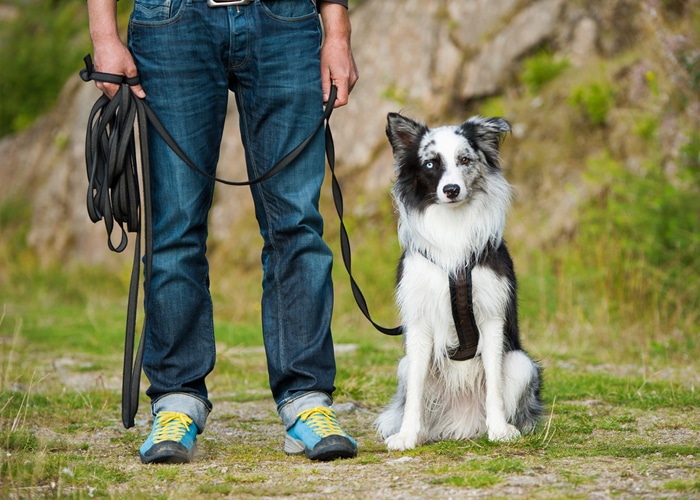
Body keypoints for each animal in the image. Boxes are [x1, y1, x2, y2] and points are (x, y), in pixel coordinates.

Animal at [374, 114, 544, 454]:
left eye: (465, 160)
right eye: (430, 164)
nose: (451, 190)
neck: (452, 227)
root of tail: (461, 422)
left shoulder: (492, 317)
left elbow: (494, 384)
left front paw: (499, 430)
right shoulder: (419, 321)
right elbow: (414, 394)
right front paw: (407, 436)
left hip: (522, 364)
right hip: (404, 365)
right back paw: (422, 433)